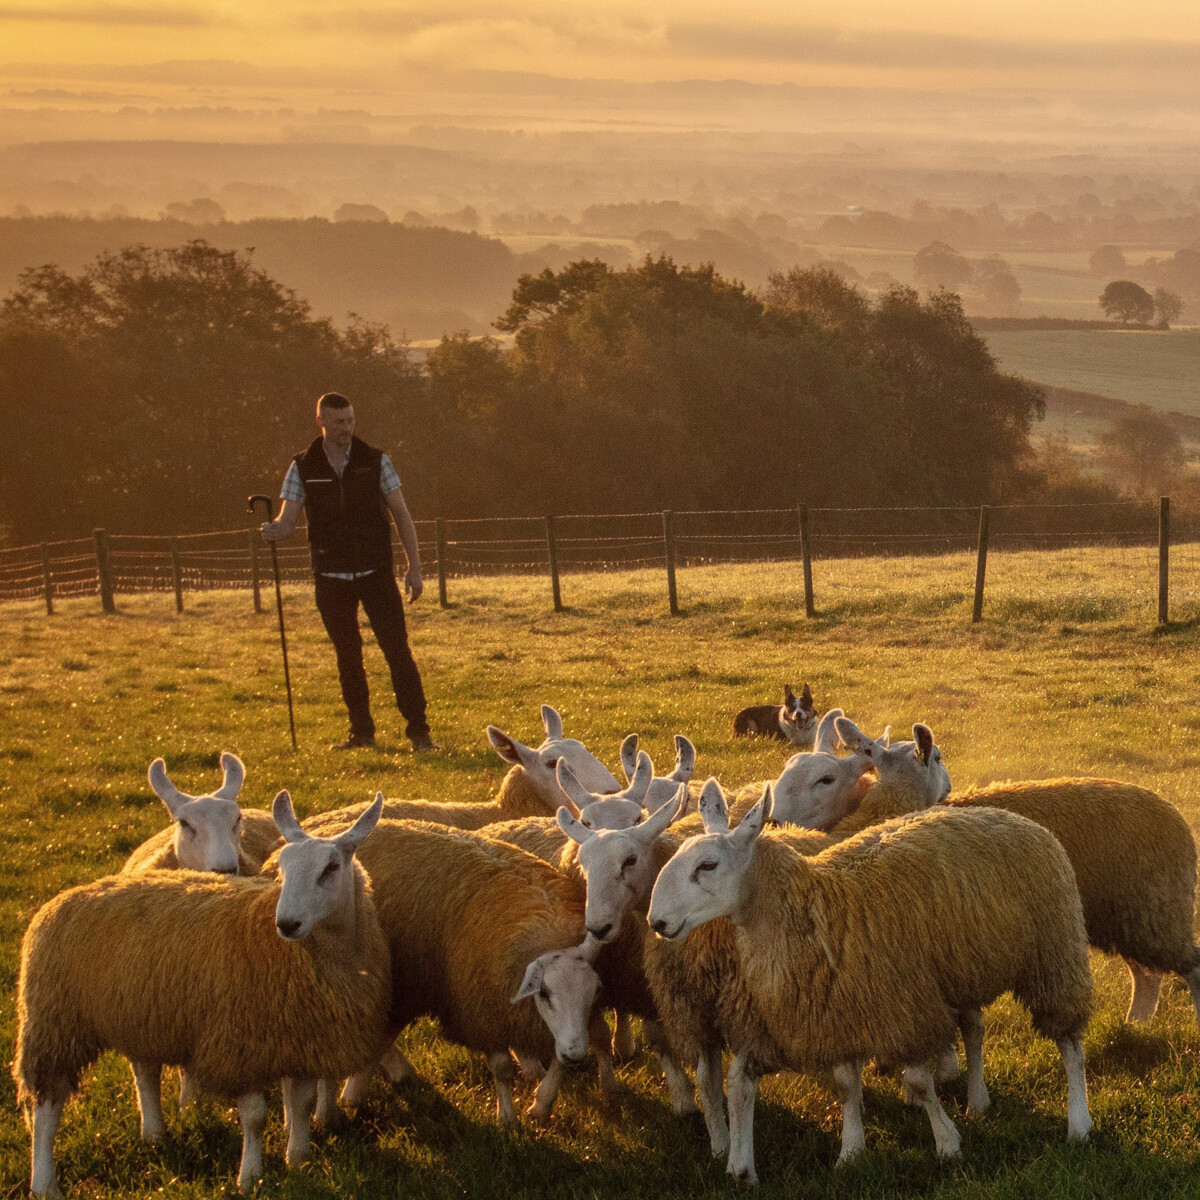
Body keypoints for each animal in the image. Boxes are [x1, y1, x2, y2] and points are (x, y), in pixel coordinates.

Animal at [14, 792, 388, 1195]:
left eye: (331, 867)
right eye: (282, 868)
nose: (287, 923)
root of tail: (65, 896)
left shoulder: (303, 1040)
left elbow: (301, 1104)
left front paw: (299, 1161)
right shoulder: (241, 1043)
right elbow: (255, 1117)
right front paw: (250, 1177)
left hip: (137, 1013)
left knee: (144, 1072)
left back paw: (154, 1133)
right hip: (54, 1020)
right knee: (46, 1106)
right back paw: (44, 1182)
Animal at [291, 811, 609, 1128]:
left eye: (595, 993)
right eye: (543, 993)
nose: (577, 1055)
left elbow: (558, 1060)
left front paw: (541, 1105)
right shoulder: (480, 1006)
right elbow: (502, 1068)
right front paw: (507, 1118)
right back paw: (338, 1103)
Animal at [652, 787, 1094, 1180]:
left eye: (708, 866)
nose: (656, 922)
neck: (813, 907)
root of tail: (1011, 816)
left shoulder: (903, 1003)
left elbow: (918, 1081)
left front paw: (947, 1144)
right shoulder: (840, 1007)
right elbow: (845, 1085)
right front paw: (850, 1151)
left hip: (1054, 954)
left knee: (1070, 1044)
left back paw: (1079, 1123)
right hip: (963, 967)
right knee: (974, 1029)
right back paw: (978, 1101)